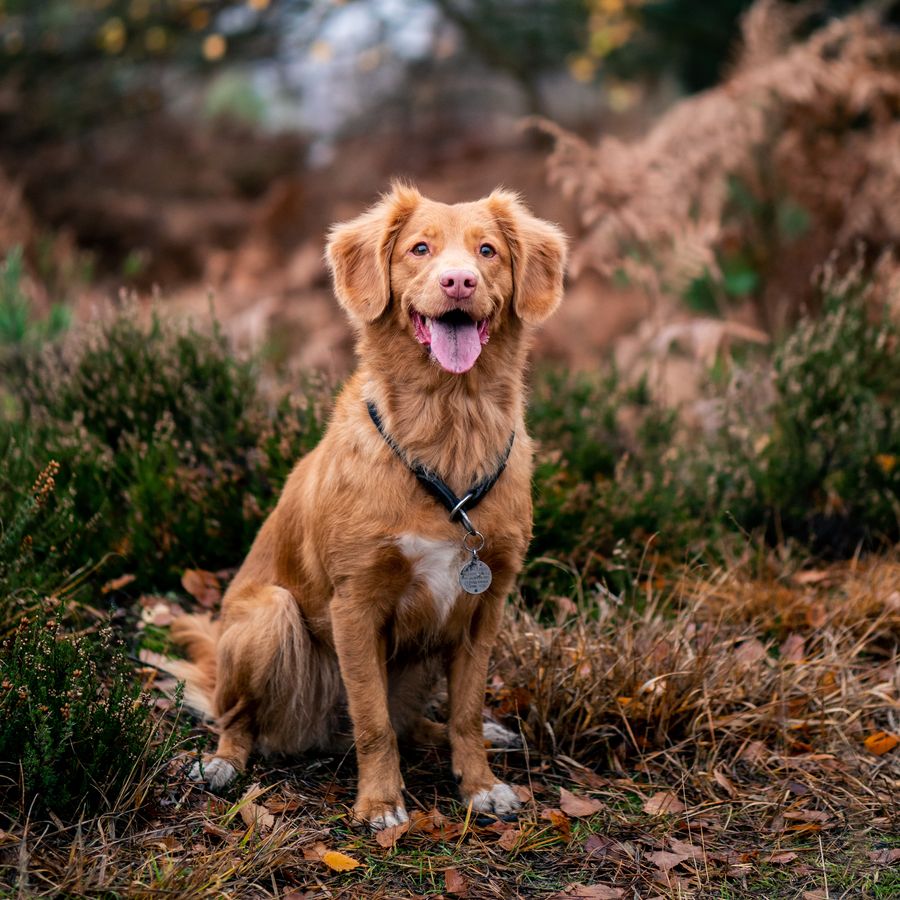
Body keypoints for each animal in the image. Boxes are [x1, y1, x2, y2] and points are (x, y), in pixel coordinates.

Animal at [168, 183, 564, 828]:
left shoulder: (485, 606)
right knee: (244, 720)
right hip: (269, 618)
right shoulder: (356, 604)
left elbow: (463, 713)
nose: (459, 281)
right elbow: (373, 722)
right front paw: (380, 801)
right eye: (419, 248)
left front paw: (480, 786)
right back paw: (224, 764)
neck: (450, 421)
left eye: (487, 251)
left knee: (418, 723)